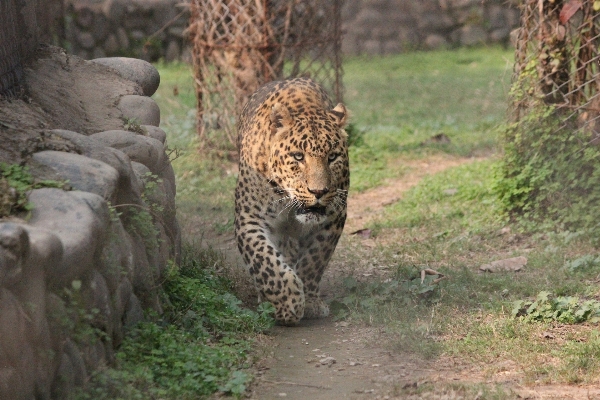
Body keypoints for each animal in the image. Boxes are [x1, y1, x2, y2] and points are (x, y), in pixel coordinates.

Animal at [233, 77, 350, 324]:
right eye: (298, 156)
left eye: (332, 157)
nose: (318, 191)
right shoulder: (249, 218)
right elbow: (265, 261)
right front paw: (288, 304)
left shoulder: (334, 216)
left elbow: (315, 259)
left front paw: (310, 300)